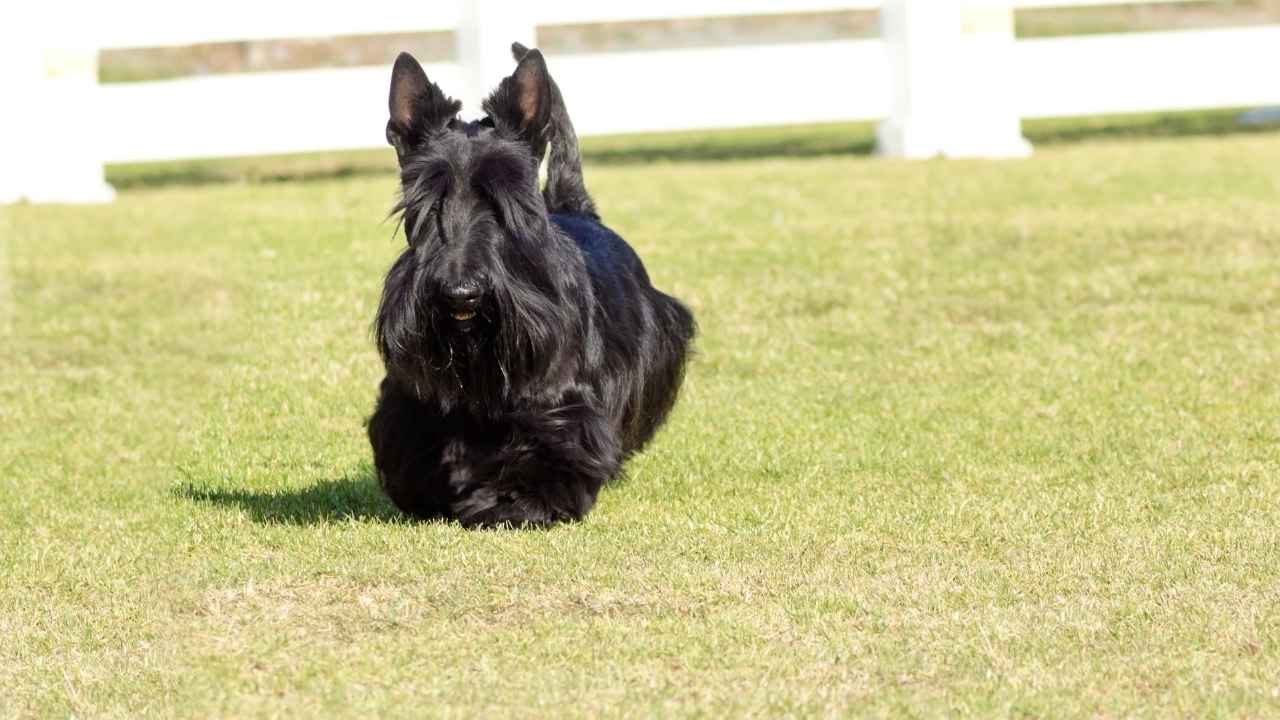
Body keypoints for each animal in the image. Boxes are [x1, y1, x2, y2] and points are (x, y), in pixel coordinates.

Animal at [366, 46, 696, 527]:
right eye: (425, 199)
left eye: (507, 195)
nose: (460, 293)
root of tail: (577, 208)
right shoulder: (412, 404)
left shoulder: (559, 406)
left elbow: (546, 455)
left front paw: (514, 501)